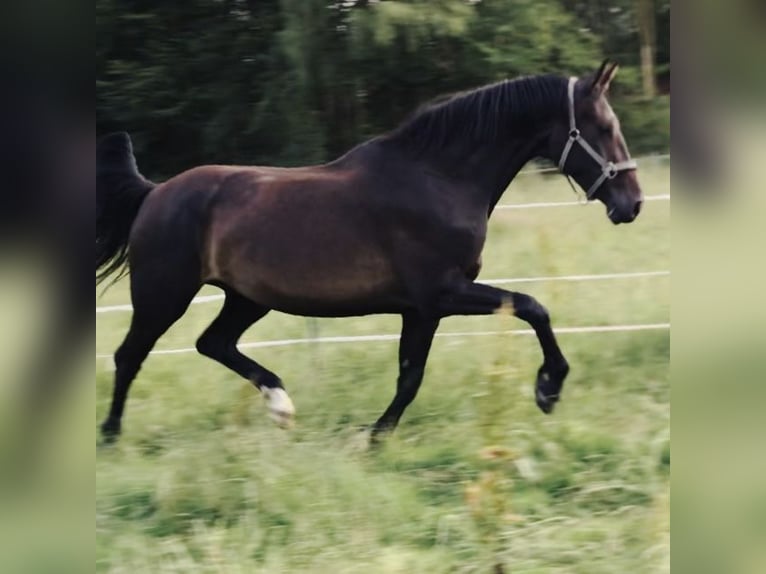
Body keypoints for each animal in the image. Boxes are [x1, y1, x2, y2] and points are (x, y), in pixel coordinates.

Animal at [99, 59, 644, 446]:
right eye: (601, 127)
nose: (632, 203)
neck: (438, 177)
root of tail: (155, 193)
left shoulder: (420, 309)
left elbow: (410, 376)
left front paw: (377, 438)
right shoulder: (441, 294)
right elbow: (531, 307)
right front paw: (548, 389)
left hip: (246, 298)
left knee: (212, 343)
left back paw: (281, 405)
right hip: (164, 295)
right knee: (130, 355)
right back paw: (110, 437)